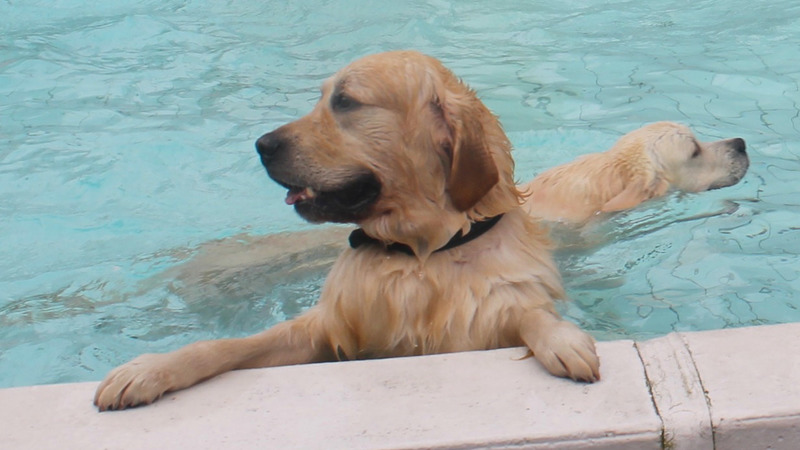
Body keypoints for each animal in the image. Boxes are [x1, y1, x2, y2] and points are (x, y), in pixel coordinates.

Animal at [94, 50, 596, 412]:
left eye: (346, 101)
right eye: (321, 98)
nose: (261, 145)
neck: (419, 253)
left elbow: (529, 314)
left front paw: (562, 338)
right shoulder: (325, 331)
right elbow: (225, 346)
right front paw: (152, 369)